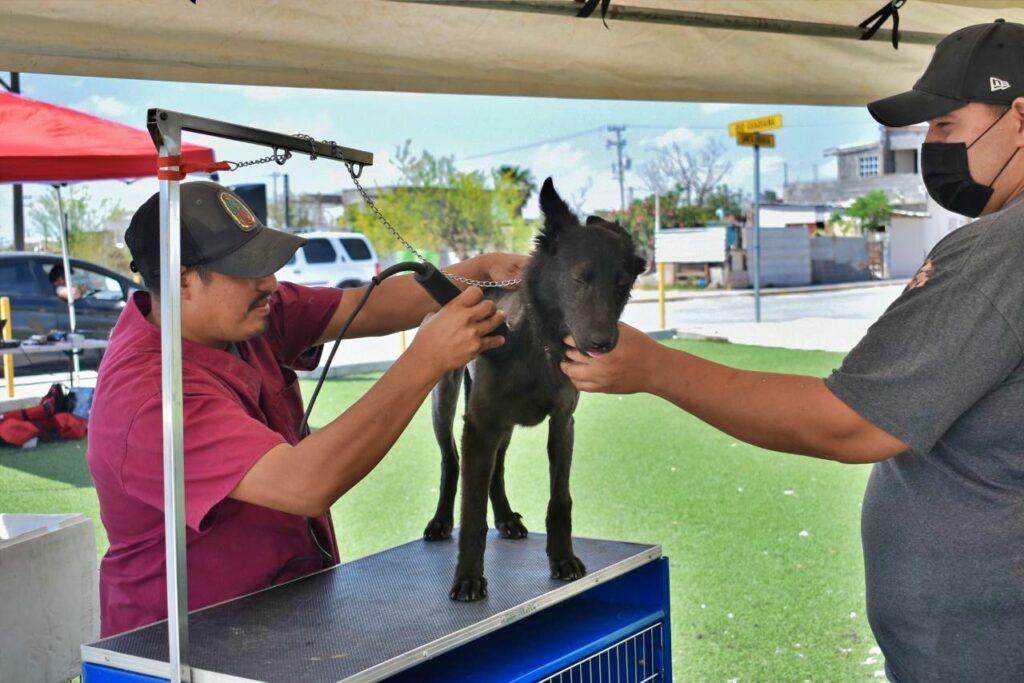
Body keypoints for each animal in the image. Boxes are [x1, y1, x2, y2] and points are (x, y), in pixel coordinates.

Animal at [419, 179, 643, 602]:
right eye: (579, 279)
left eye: (622, 285)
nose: (603, 344)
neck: (540, 344)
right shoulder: (480, 425)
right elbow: (472, 511)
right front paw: (468, 577)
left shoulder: (562, 423)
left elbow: (560, 499)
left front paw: (562, 559)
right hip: (446, 400)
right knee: (450, 462)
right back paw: (440, 521)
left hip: (503, 426)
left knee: (497, 469)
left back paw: (507, 518)